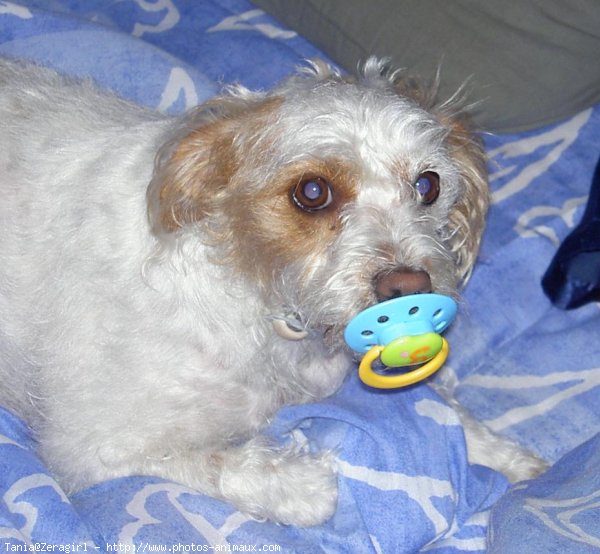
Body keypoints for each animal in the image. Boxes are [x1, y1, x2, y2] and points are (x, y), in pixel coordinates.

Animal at [0, 57, 548, 528]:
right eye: (313, 193)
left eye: (428, 184)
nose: (409, 287)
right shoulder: (95, 446)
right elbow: (240, 470)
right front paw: (306, 480)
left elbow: (445, 408)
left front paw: (506, 456)